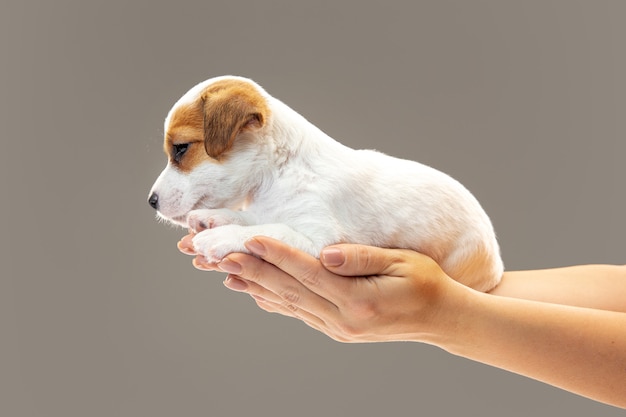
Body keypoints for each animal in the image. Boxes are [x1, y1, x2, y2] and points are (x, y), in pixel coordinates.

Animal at [149, 75, 504, 290]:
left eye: (181, 148)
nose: (150, 202)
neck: (279, 173)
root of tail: (497, 267)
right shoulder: (269, 209)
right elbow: (257, 219)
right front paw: (216, 218)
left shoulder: (320, 240)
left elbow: (268, 230)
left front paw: (220, 237)